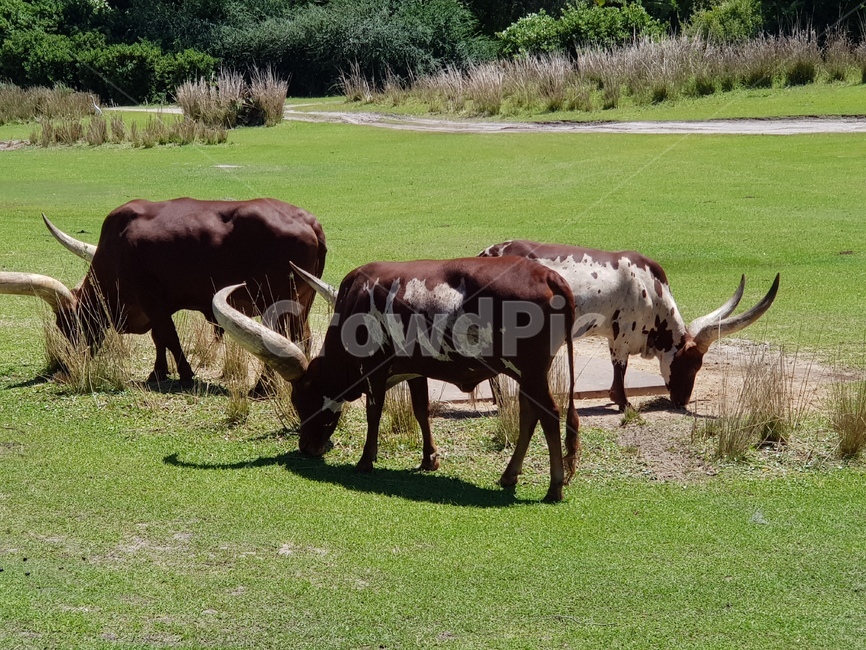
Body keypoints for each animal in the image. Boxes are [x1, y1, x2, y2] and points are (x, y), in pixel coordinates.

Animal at [0, 198, 326, 383]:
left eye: (67, 324)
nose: (71, 364)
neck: (116, 247)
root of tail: (310, 221)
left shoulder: (151, 299)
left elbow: (169, 336)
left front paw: (185, 374)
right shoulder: (156, 304)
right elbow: (160, 339)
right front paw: (158, 371)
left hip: (279, 302)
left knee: (281, 341)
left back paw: (261, 389)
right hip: (303, 302)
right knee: (303, 338)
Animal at [212, 256, 581, 502]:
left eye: (305, 400)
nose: (308, 449)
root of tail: (551, 277)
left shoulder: (374, 371)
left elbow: (374, 413)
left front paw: (365, 460)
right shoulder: (416, 370)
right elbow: (420, 410)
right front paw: (429, 459)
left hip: (531, 372)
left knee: (549, 415)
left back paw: (554, 487)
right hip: (526, 375)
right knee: (530, 414)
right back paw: (509, 476)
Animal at [479, 240, 779, 410]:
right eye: (693, 365)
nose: (682, 402)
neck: (652, 291)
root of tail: (485, 253)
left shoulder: (615, 335)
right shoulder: (622, 333)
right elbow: (620, 367)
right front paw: (623, 402)